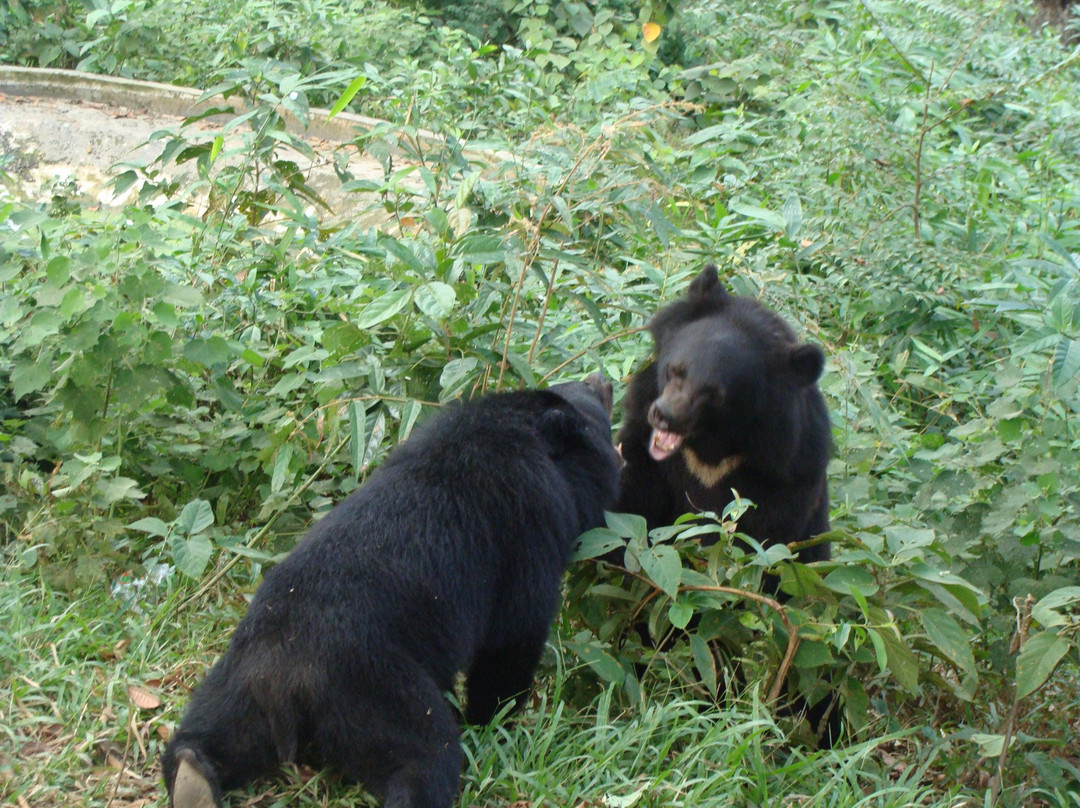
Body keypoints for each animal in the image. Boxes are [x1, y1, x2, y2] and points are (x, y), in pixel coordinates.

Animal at [158, 375, 617, 808]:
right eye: (592, 396)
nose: (605, 378)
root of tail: (283, 676)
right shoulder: (525, 530)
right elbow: (511, 639)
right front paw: (493, 719)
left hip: (240, 684)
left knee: (218, 731)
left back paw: (192, 777)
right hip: (374, 689)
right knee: (425, 753)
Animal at [613, 264, 829, 561]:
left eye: (713, 394)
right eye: (675, 369)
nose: (664, 416)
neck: (711, 448)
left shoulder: (784, 478)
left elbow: (757, 539)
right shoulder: (642, 448)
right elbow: (630, 503)